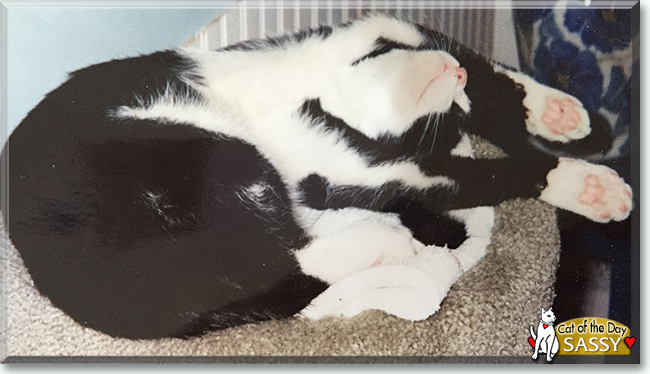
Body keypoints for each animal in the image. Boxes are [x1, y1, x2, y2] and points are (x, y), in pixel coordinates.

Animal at [2, 14, 632, 338]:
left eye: (443, 116)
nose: (450, 77)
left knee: (277, 253)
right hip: (204, 157)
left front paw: (554, 114)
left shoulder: (383, 144)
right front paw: (588, 183)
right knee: (275, 254)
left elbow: (477, 91)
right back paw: (386, 243)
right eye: (429, 122)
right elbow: (482, 165)